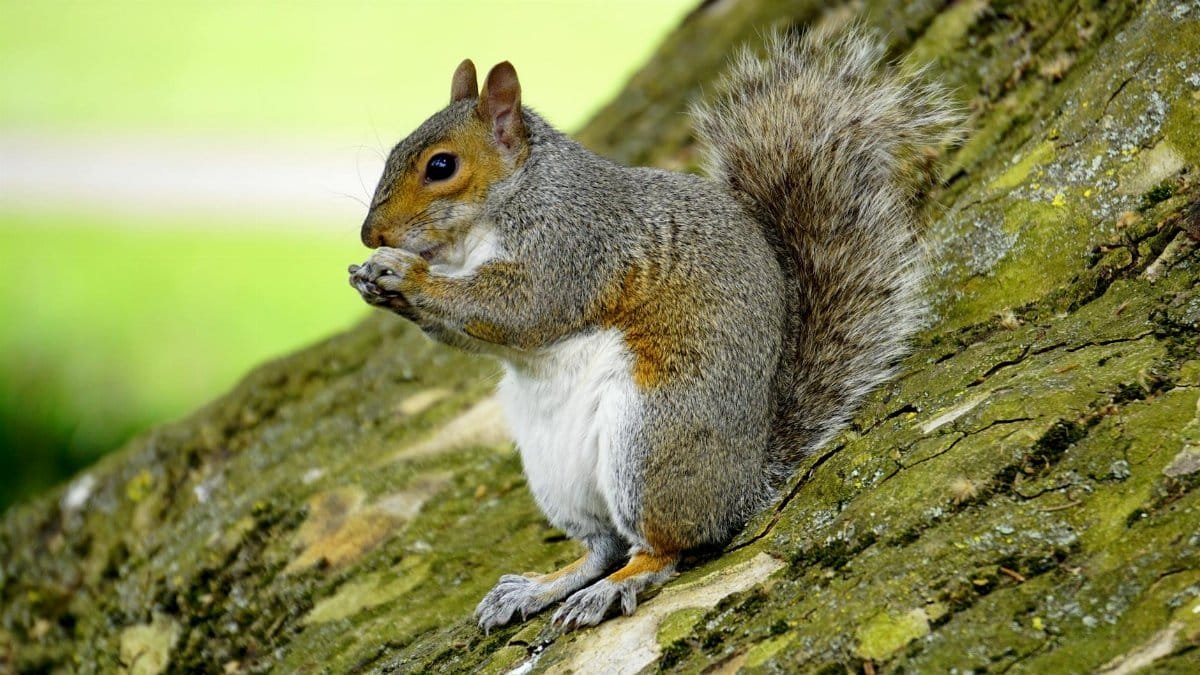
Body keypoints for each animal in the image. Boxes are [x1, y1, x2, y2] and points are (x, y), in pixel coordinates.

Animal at [349, 26, 958, 632]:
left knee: (664, 548)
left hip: (649, 439)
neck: (515, 195)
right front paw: (375, 279)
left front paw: (403, 273)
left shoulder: (571, 248)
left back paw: (614, 587)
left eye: (441, 166)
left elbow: (519, 308)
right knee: (603, 546)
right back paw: (540, 587)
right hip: (558, 476)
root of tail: (744, 485)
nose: (369, 234)